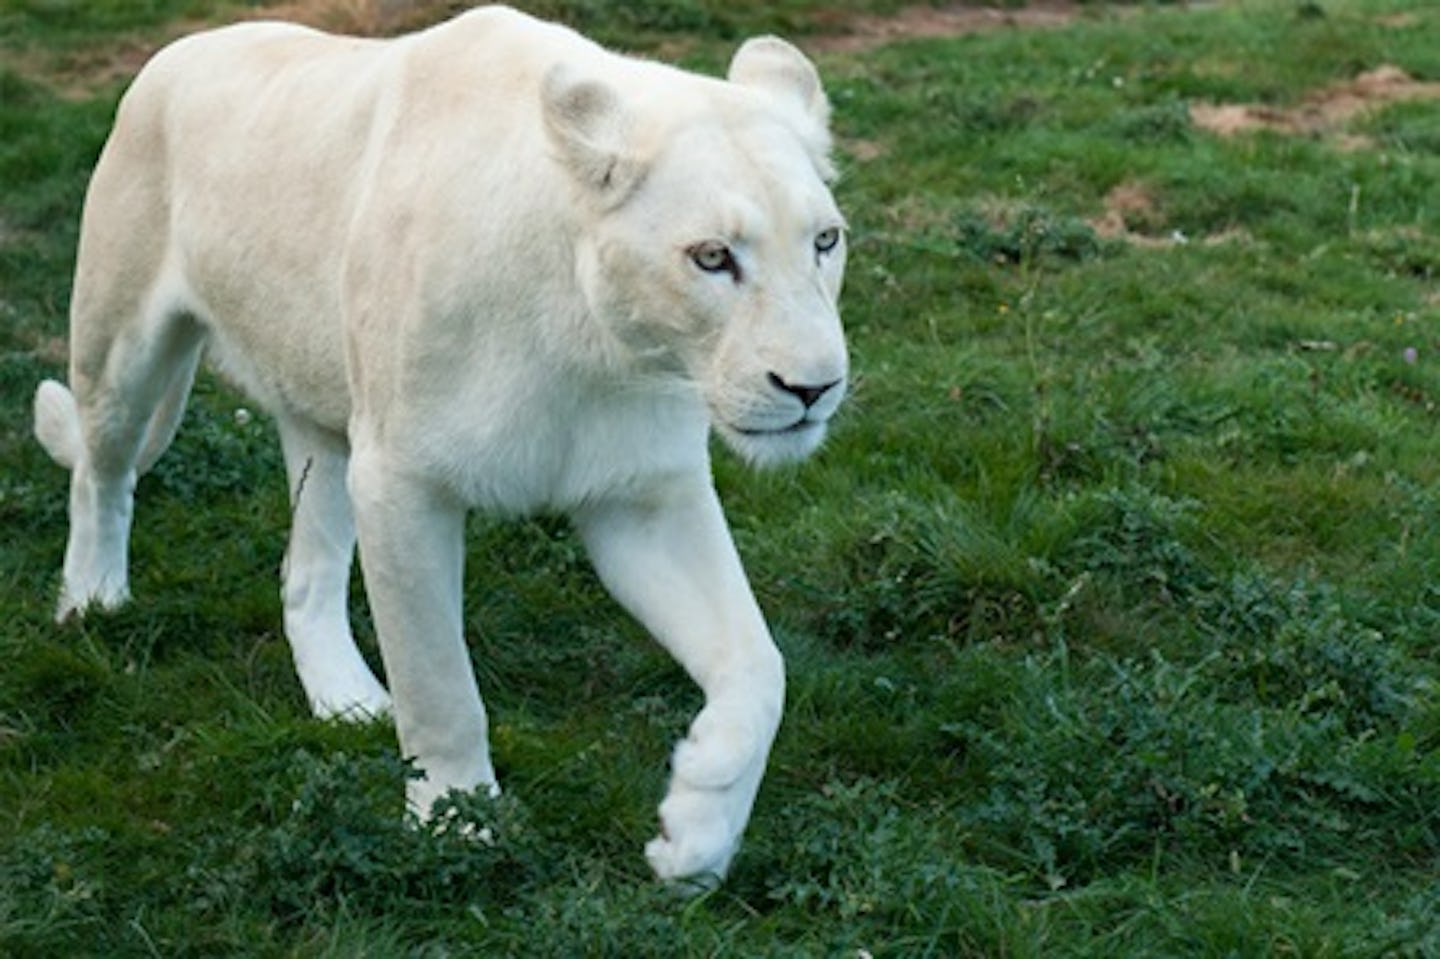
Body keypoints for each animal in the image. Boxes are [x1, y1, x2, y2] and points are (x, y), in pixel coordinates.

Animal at [30, 3, 840, 881]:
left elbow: (759, 663)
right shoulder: (402, 482)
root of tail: (183, 49)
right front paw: (459, 826)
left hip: (325, 418)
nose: (815, 387)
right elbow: (440, 686)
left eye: (826, 242)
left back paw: (346, 700)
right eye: (712, 257)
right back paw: (91, 602)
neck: (595, 346)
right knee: (101, 476)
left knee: (306, 575)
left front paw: (695, 830)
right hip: (120, 344)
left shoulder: (642, 492)